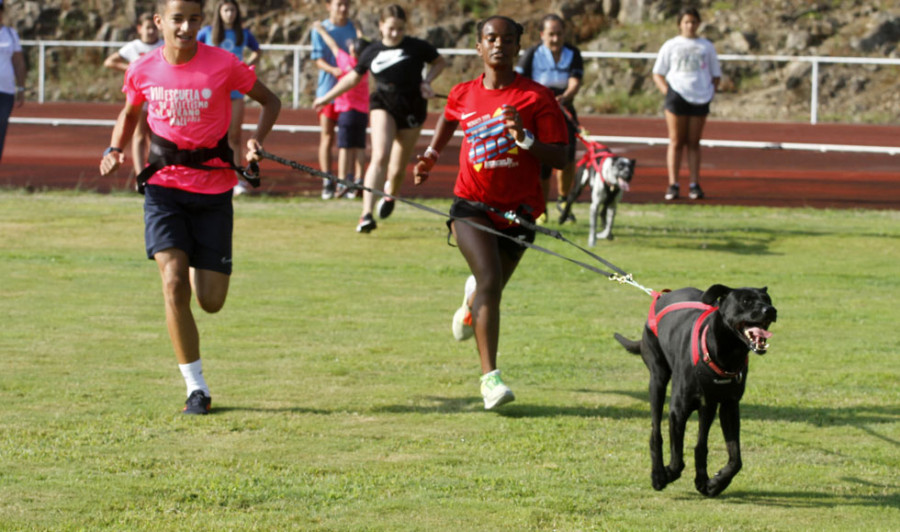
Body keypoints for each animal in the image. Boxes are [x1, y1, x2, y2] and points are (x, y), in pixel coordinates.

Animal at [616, 284, 776, 496]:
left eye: (768, 300)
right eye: (746, 301)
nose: (770, 310)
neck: (725, 356)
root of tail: (661, 297)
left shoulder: (729, 406)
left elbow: (735, 459)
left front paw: (716, 482)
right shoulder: (678, 410)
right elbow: (677, 457)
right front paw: (667, 473)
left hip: (707, 407)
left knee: (701, 444)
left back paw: (701, 479)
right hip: (657, 380)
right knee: (656, 432)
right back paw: (658, 474)